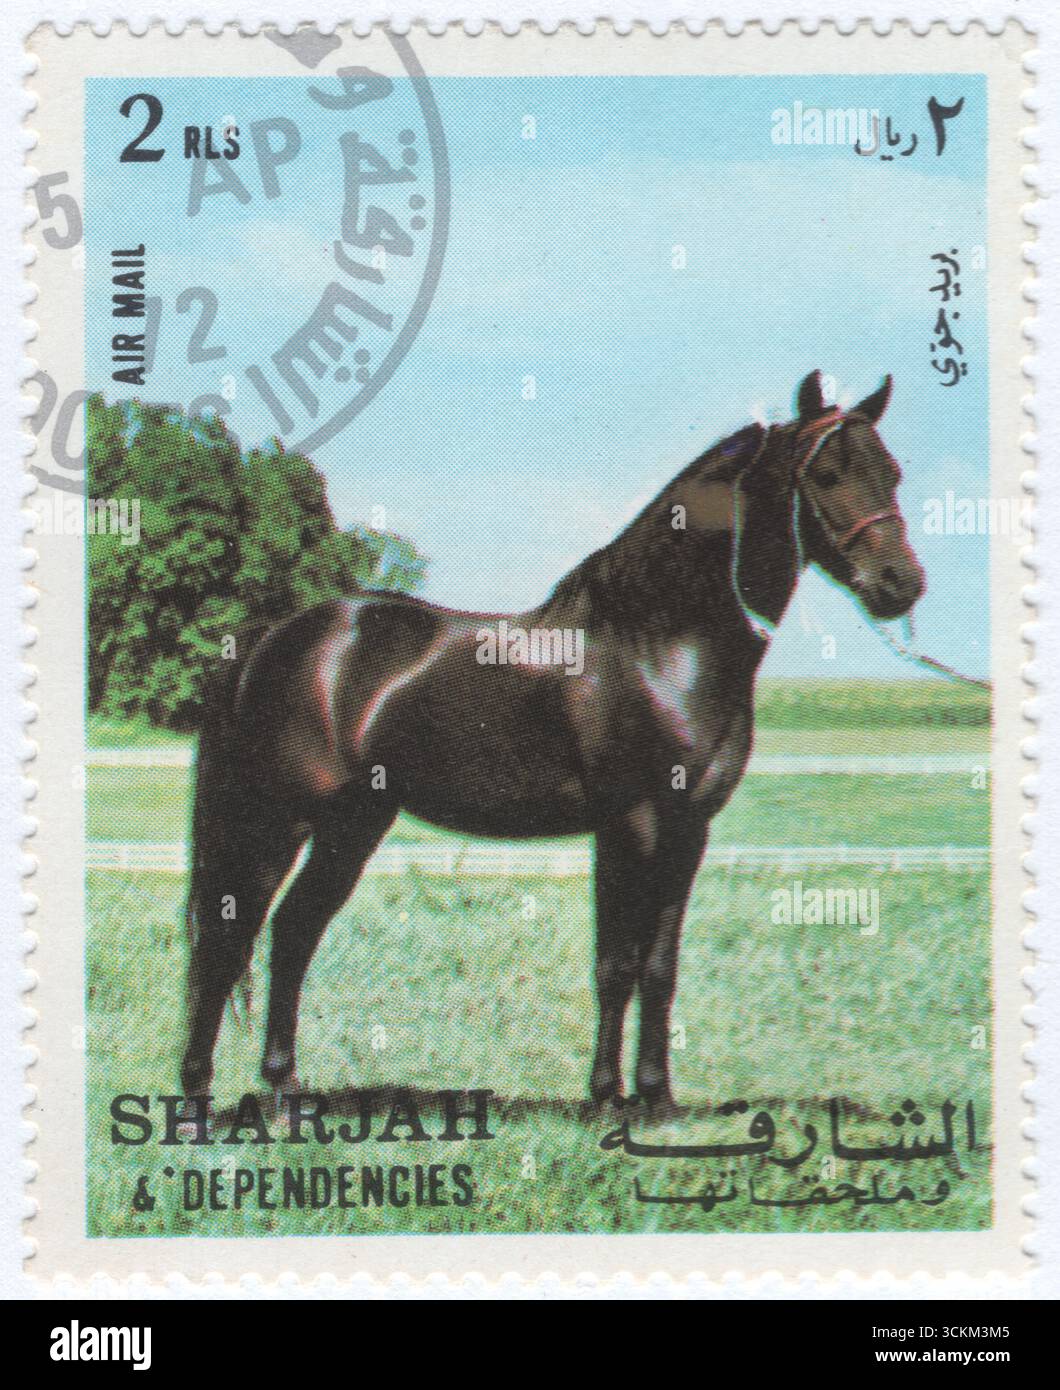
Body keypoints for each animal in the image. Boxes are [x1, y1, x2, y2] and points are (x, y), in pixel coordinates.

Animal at [181, 369, 925, 1114]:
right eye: (827, 474)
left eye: (893, 472)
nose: (903, 585)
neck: (658, 644)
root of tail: (273, 638)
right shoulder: (632, 824)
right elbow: (615, 963)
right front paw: (605, 1100)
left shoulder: (689, 829)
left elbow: (659, 967)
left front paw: (655, 1098)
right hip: (279, 819)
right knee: (227, 938)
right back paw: (195, 1104)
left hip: (353, 823)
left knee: (291, 932)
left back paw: (286, 1091)